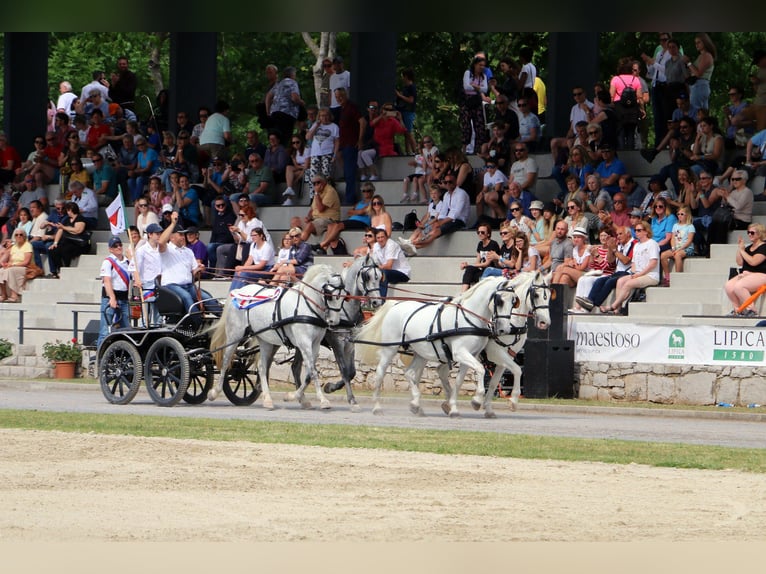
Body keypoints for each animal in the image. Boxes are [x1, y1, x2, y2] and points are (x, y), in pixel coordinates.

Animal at [207, 266, 344, 410]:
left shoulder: (315, 344)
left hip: (265, 340)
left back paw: (267, 399)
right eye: (330, 295)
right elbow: (312, 371)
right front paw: (322, 400)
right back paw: (214, 393)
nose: (334, 321)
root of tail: (238, 291)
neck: (306, 306)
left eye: (343, 297)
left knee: (262, 366)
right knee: (226, 361)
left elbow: (308, 373)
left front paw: (293, 396)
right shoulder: (304, 343)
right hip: (235, 335)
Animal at [292, 254, 384, 412]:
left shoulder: (349, 343)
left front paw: (330, 387)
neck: (344, 308)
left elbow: (352, 372)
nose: (377, 302)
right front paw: (352, 400)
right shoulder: (337, 342)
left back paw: (301, 398)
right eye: (367, 276)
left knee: (295, 367)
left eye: (380, 276)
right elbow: (344, 370)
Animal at [356, 274, 532, 418]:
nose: (503, 329)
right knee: (380, 373)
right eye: (499, 301)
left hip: (421, 353)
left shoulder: (472, 355)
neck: (469, 318)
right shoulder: (462, 353)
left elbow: (461, 379)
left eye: (513, 302)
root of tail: (395, 304)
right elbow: (481, 370)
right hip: (389, 349)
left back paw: (416, 406)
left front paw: (454, 407)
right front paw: (476, 400)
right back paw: (377, 407)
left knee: (410, 373)